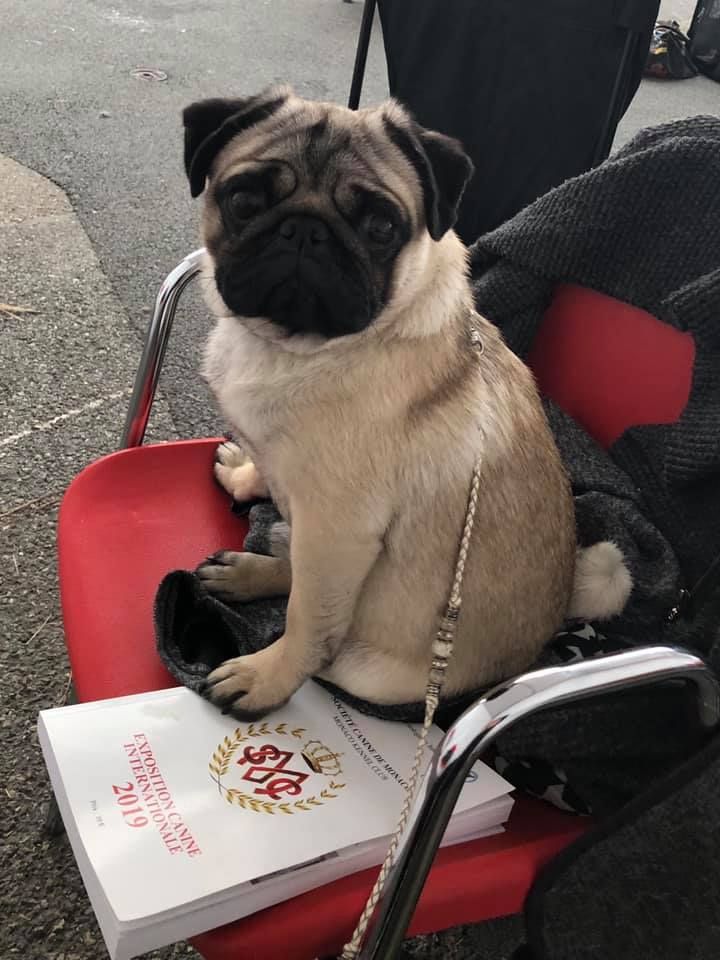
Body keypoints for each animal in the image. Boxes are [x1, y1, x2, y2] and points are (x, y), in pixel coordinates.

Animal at [184, 88, 632, 720]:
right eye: (244, 200)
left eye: (380, 227)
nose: (304, 231)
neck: (298, 349)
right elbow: (271, 480)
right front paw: (247, 476)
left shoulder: (339, 528)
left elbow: (307, 623)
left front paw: (267, 677)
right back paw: (252, 570)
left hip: (369, 659)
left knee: (324, 622)